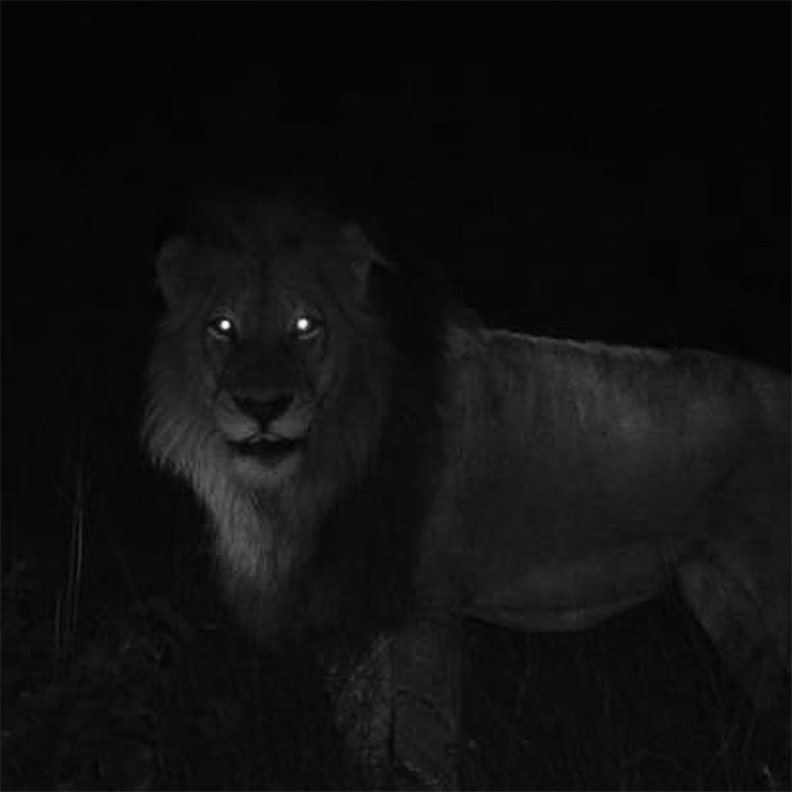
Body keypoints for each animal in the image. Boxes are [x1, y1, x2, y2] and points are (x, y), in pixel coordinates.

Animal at [144, 194, 792, 788]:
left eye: (305, 326)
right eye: (222, 327)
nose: (262, 406)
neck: (313, 476)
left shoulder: (427, 612)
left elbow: (424, 751)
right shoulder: (352, 612)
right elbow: (363, 743)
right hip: (726, 606)